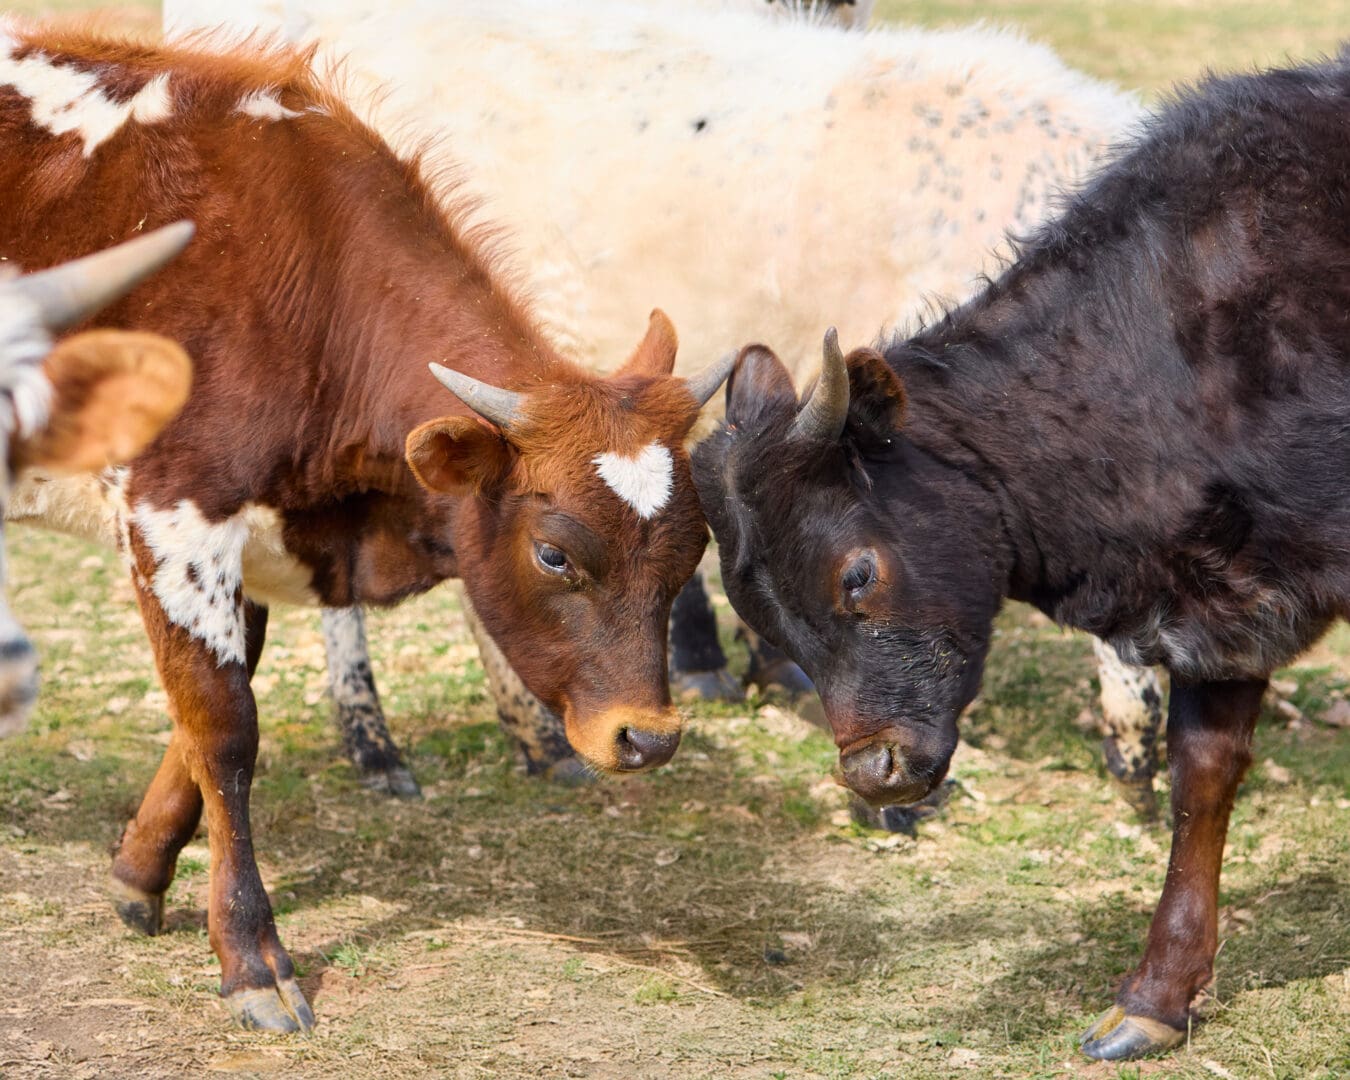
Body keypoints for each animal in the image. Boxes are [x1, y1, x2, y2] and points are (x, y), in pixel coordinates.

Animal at [690, 54, 1350, 1059]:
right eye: (760, 612)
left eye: (857, 573)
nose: (874, 774)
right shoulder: (1228, 609)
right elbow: (1201, 779)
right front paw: (1155, 996)